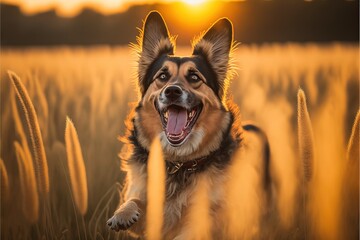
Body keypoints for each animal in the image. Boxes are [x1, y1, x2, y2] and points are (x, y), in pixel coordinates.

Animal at [107, 10, 270, 238]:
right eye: (162, 76)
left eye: (194, 77)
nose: (172, 91)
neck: (178, 161)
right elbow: (134, 199)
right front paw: (122, 214)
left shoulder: (208, 215)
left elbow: (192, 229)